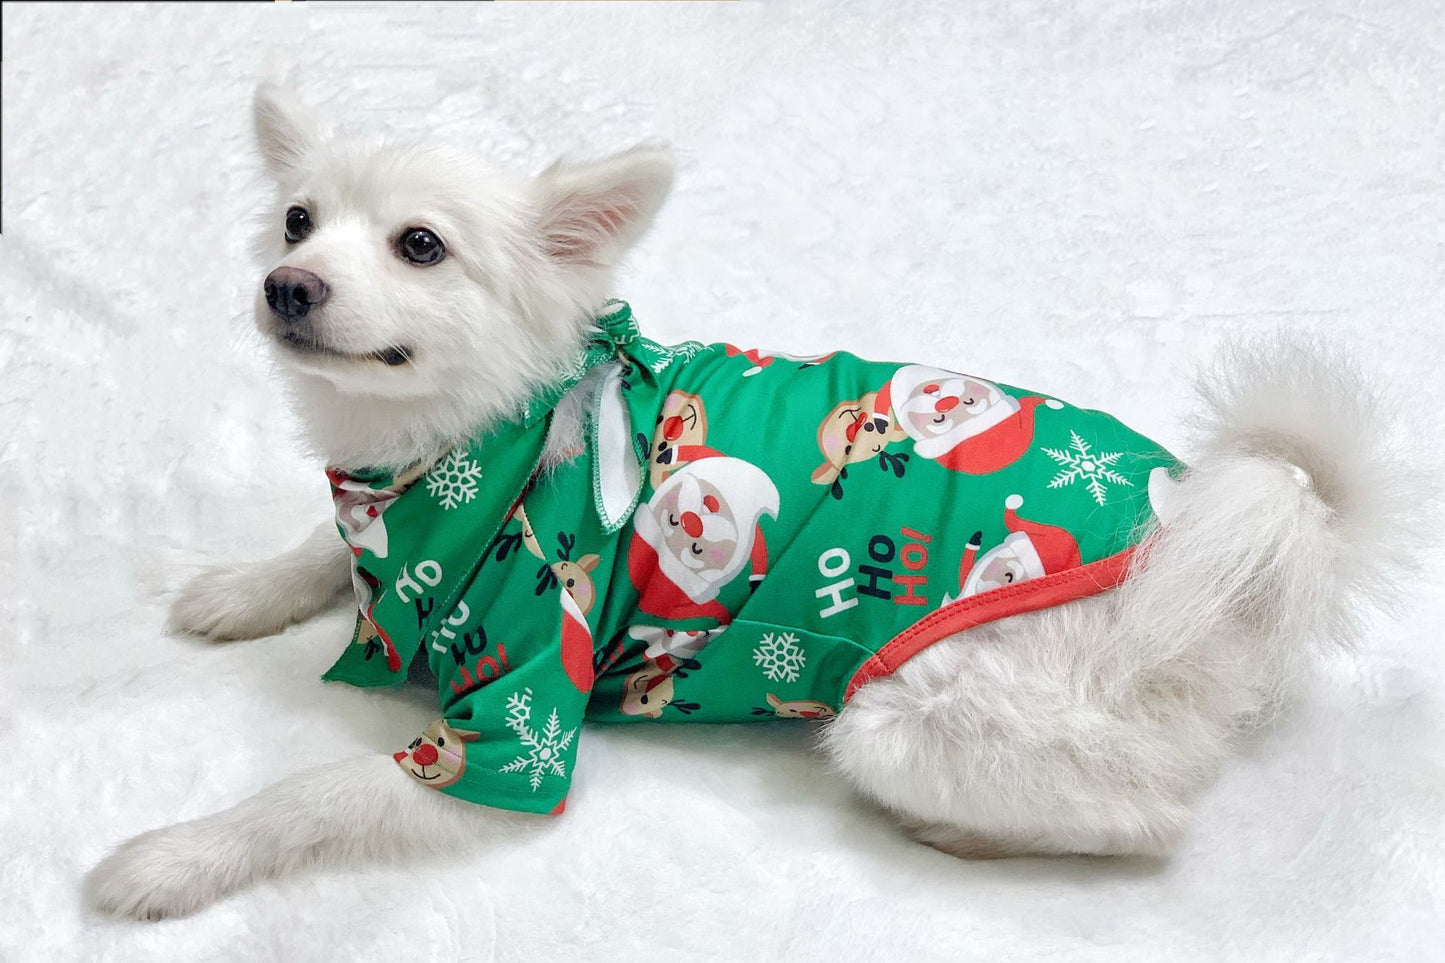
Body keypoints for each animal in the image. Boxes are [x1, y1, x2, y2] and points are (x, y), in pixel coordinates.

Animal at [87, 88, 1421, 913]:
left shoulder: (512, 733)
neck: (462, 445)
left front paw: (170, 858)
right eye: (298, 222)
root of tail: (1239, 547)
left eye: (420, 247)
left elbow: (311, 796)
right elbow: (321, 550)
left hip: (904, 720)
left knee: (1146, 826)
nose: (286, 285)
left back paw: (962, 836)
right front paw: (239, 589)